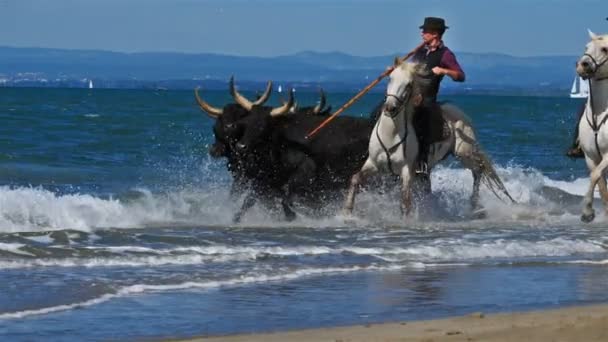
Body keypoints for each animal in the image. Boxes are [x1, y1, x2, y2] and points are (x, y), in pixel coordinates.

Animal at [342, 60, 512, 218]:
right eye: (390, 78)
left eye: (409, 84)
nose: (390, 107)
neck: (391, 134)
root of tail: (461, 114)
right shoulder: (373, 163)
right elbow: (355, 179)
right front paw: (347, 213)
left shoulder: (407, 170)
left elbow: (405, 200)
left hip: (464, 152)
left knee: (478, 170)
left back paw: (475, 206)